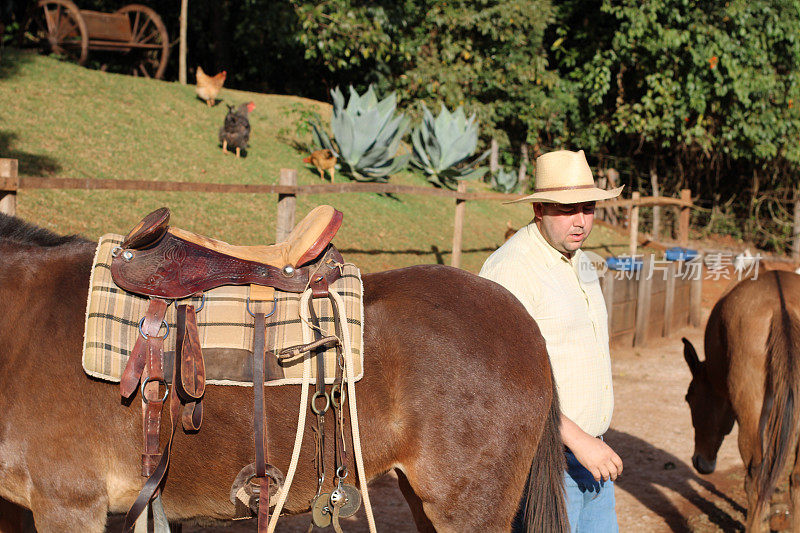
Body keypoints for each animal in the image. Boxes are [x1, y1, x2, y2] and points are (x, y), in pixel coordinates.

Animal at [680, 272, 800, 528]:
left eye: (689, 398)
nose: (699, 462)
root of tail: (783, 306)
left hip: (750, 414)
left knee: (755, 478)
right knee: (795, 476)